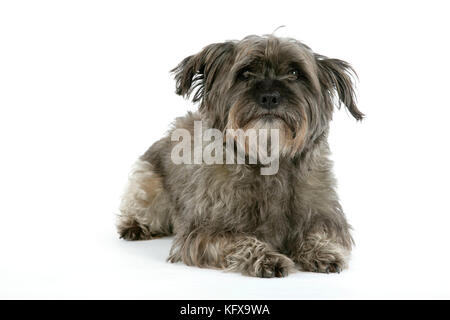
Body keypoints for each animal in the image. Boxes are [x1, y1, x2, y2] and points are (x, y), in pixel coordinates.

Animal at [116, 33, 362, 276]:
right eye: (245, 74)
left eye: (295, 73)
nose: (270, 97)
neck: (268, 159)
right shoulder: (205, 232)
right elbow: (239, 241)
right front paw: (266, 257)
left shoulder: (327, 217)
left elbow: (321, 232)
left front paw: (322, 251)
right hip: (147, 185)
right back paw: (134, 226)